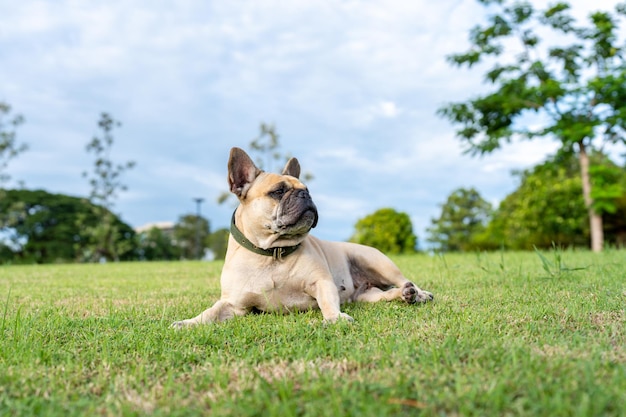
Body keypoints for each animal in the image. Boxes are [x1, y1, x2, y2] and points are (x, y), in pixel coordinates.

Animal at [172, 147, 434, 328]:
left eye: (307, 189)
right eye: (278, 191)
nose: (304, 195)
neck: (271, 253)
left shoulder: (322, 283)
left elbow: (327, 301)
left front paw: (335, 318)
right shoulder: (233, 304)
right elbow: (210, 312)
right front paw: (188, 322)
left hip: (376, 261)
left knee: (405, 279)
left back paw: (419, 293)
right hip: (366, 296)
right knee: (385, 294)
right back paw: (405, 295)